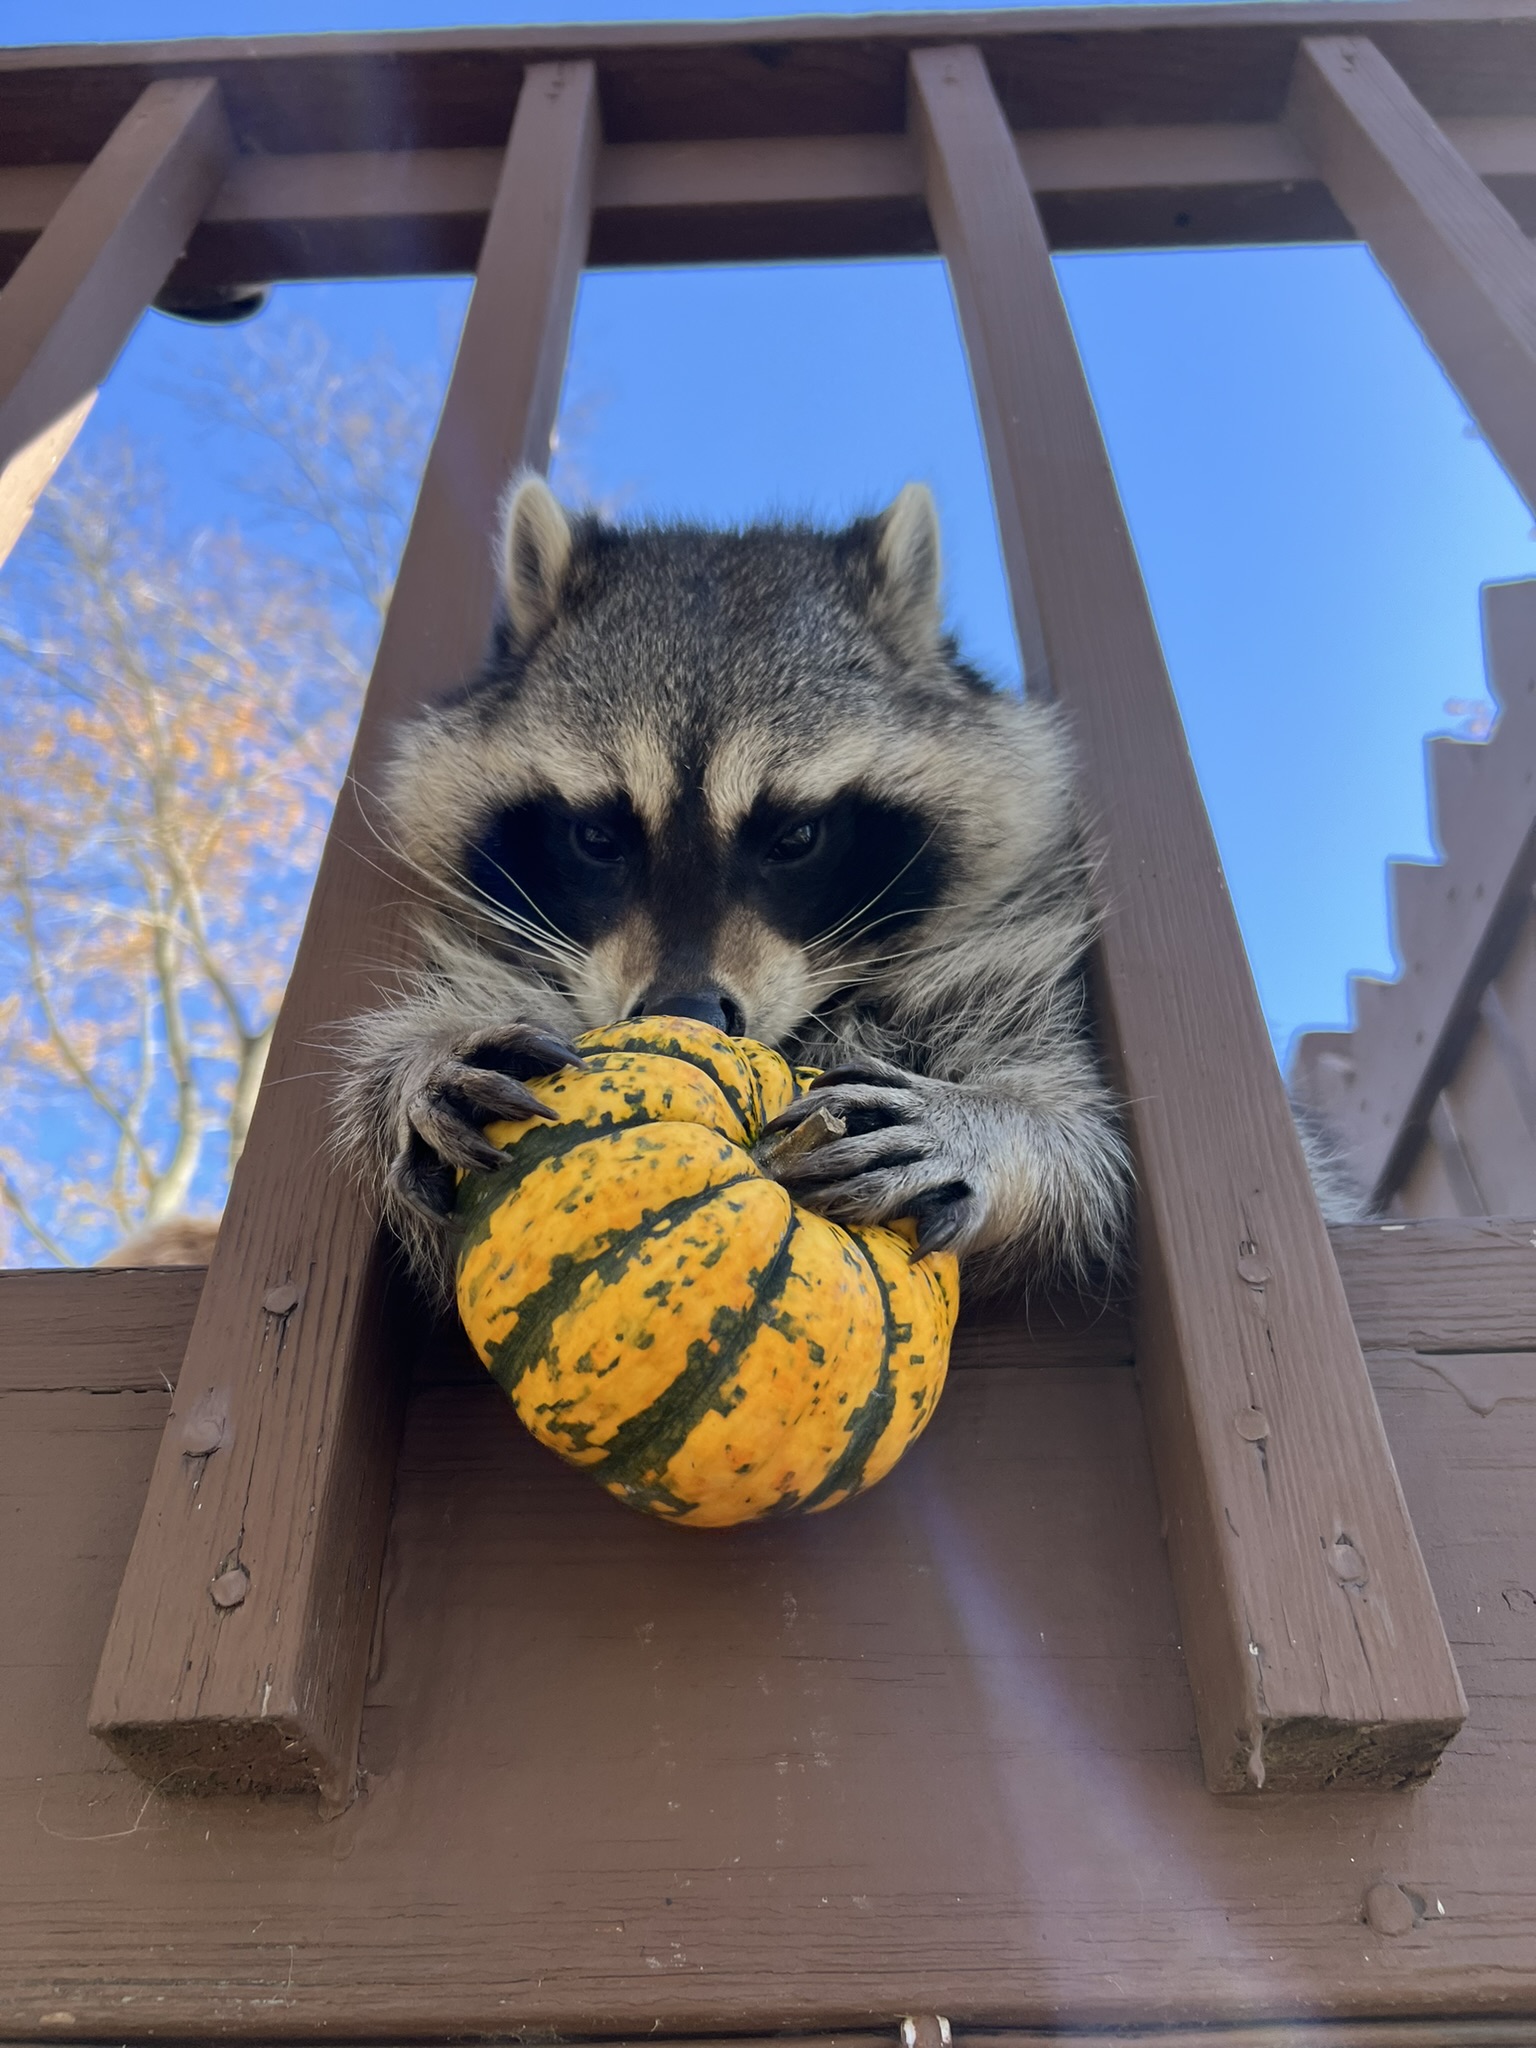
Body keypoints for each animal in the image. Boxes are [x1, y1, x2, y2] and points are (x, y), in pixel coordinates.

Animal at [337, 473, 1133, 1301]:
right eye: (597, 838)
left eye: (797, 837)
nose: (688, 1013)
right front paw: (420, 1061)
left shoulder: (1013, 963)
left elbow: (1076, 1145)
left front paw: (996, 1125)